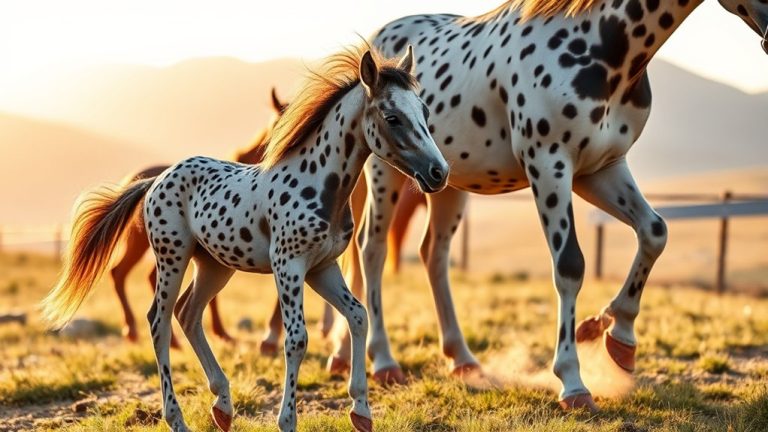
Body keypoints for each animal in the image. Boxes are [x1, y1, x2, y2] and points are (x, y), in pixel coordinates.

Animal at [110, 88, 287, 346]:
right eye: (275, 125)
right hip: (142, 242)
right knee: (121, 273)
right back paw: (133, 330)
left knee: (141, 277)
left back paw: (168, 338)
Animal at [328, 0, 768, 410]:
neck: (601, 48)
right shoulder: (549, 165)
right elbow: (570, 266)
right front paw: (573, 382)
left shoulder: (601, 169)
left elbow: (654, 232)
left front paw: (616, 336)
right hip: (385, 174)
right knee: (372, 250)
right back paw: (384, 362)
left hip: (446, 182)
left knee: (432, 253)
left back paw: (452, 358)